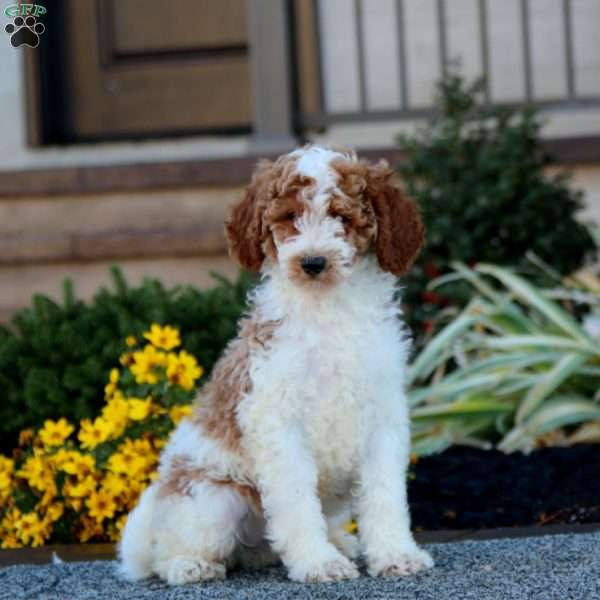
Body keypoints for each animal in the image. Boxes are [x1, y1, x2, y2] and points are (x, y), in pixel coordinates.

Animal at [119, 145, 434, 584]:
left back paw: (337, 543)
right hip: (211, 496)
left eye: (342, 217)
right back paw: (191, 565)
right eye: (288, 217)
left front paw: (395, 555)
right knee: (171, 553)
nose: (313, 262)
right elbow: (297, 500)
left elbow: (385, 494)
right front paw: (318, 563)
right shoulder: (278, 422)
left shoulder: (383, 417)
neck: (327, 311)